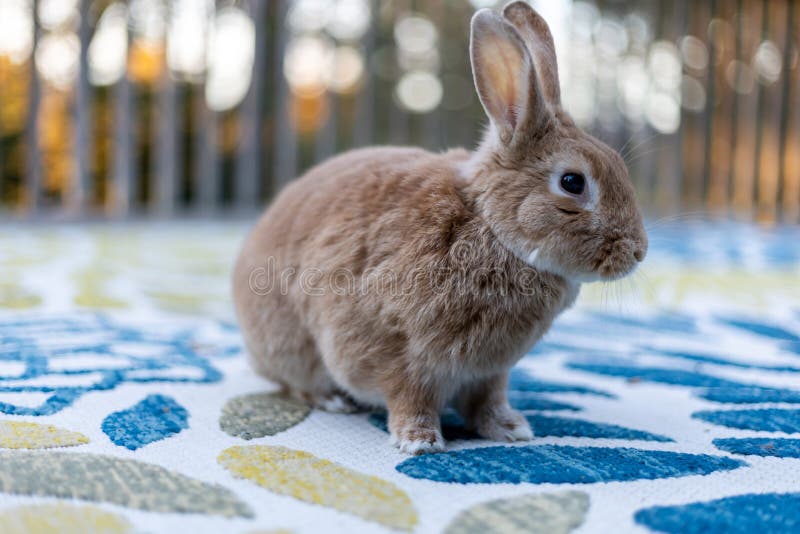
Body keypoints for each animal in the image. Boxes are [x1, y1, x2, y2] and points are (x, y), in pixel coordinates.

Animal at [232, 1, 647, 455]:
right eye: (572, 182)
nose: (638, 252)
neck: (489, 225)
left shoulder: (488, 372)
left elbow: (487, 402)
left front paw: (510, 429)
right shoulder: (399, 351)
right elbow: (408, 396)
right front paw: (420, 441)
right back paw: (332, 400)